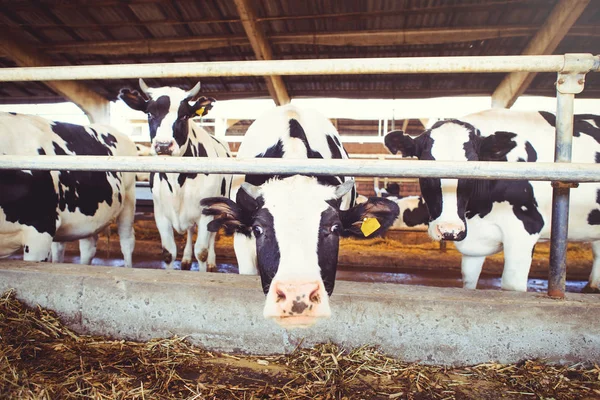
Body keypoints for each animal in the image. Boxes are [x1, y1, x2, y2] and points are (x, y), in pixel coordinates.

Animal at [118, 78, 231, 272]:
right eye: (149, 113)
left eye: (184, 116)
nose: (163, 145)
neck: (177, 181)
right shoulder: (160, 213)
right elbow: (168, 253)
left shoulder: (205, 213)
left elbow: (201, 251)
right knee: (190, 230)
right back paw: (185, 259)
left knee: (212, 236)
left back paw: (212, 261)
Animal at [384, 108, 600, 292]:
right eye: (426, 166)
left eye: (474, 167)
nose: (449, 230)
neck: (478, 213)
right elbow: (469, 282)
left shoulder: (525, 229)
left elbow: (511, 286)